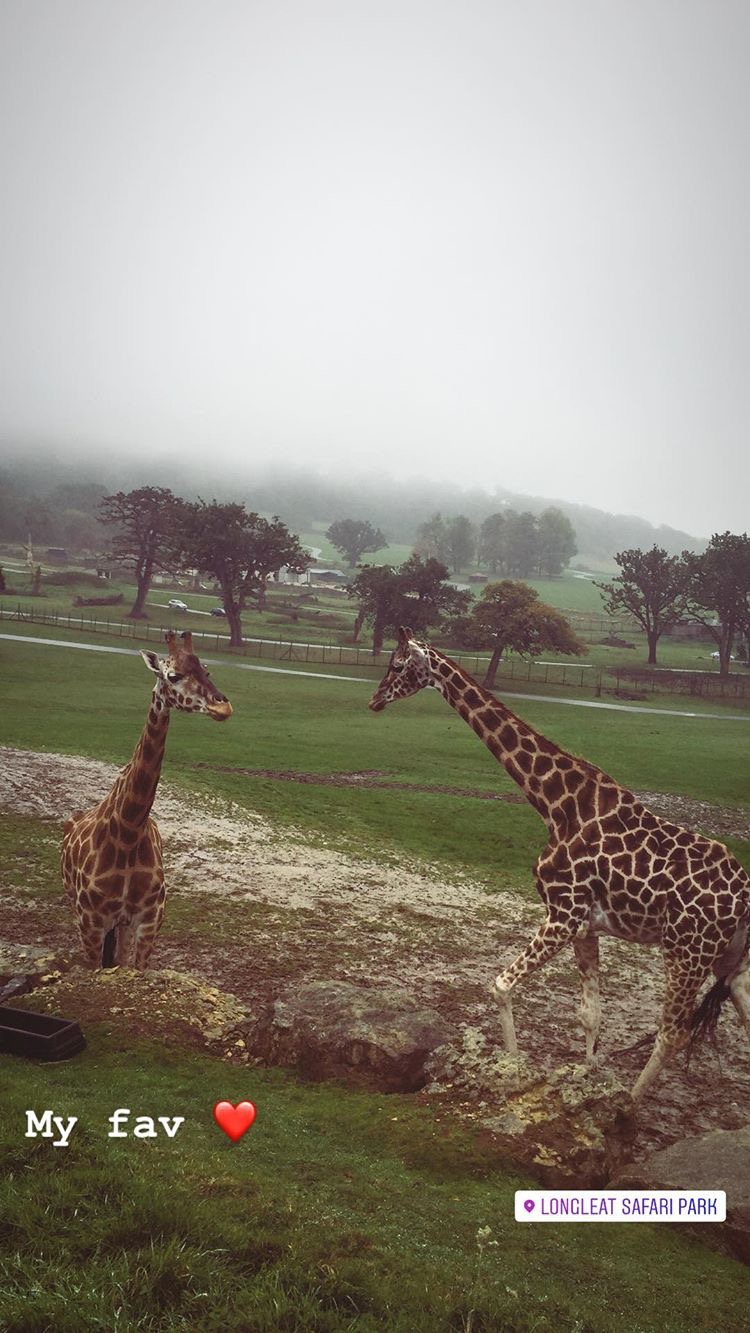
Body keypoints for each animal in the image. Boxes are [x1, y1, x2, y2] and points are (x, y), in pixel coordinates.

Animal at [61, 630, 232, 969]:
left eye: (207, 671)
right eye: (173, 675)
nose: (223, 707)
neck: (129, 829)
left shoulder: (148, 919)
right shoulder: (91, 922)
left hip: (121, 924)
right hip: (79, 910)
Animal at [369, 627, 750, 1101]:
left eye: (398, 664)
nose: (374, 699)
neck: (555, 805)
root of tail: (745, 897)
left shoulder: (563, 914)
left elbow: (501, 986)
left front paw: (512, 1070)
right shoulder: (585, 926)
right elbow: (590, 1016)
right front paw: (586, 1079)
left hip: (687, 953)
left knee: (672, 1033)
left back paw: (631, 1104)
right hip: (730, 961)